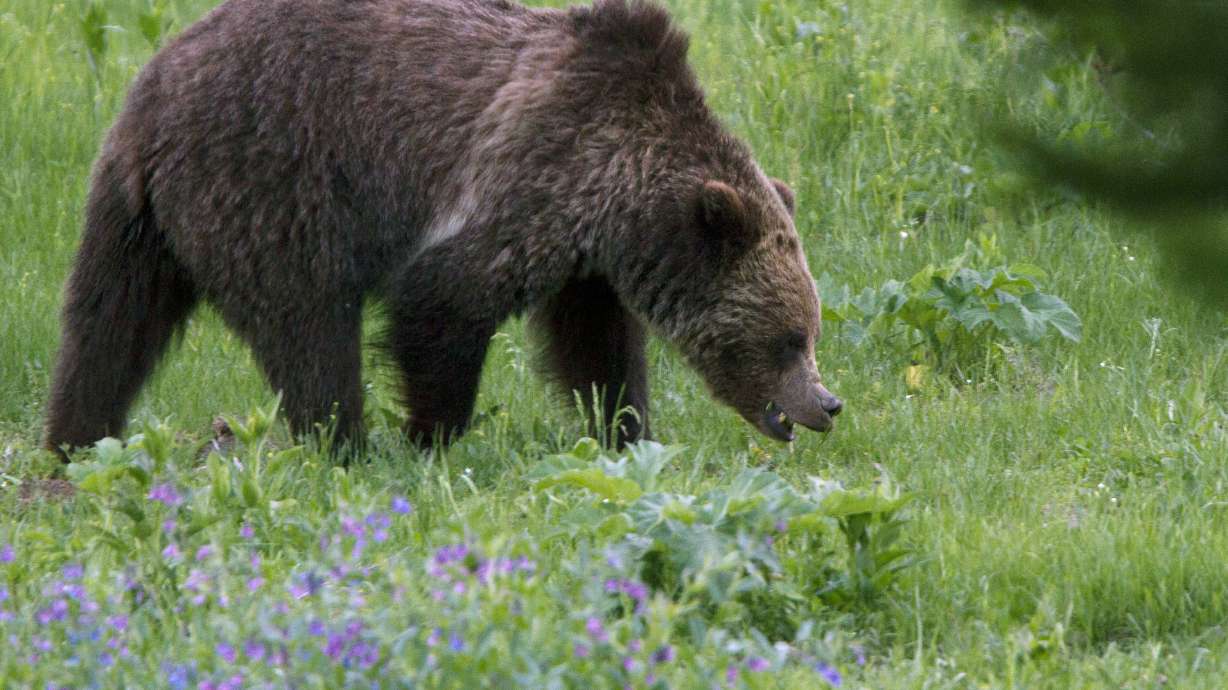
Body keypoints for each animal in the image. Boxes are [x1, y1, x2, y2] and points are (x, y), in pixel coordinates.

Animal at [44, 0, 843, 458]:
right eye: (788, 337)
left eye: (809, 331)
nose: (826, 404)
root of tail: (153, 91)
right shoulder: (531, 172)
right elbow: (442, 300)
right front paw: (431, 436)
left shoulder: (586, 257)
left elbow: (596, 346)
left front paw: (626, 431)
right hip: (269, 180)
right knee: (309, 327)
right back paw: (345, 444)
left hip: (137, 220)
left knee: (108, 326)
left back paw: (74, 440)